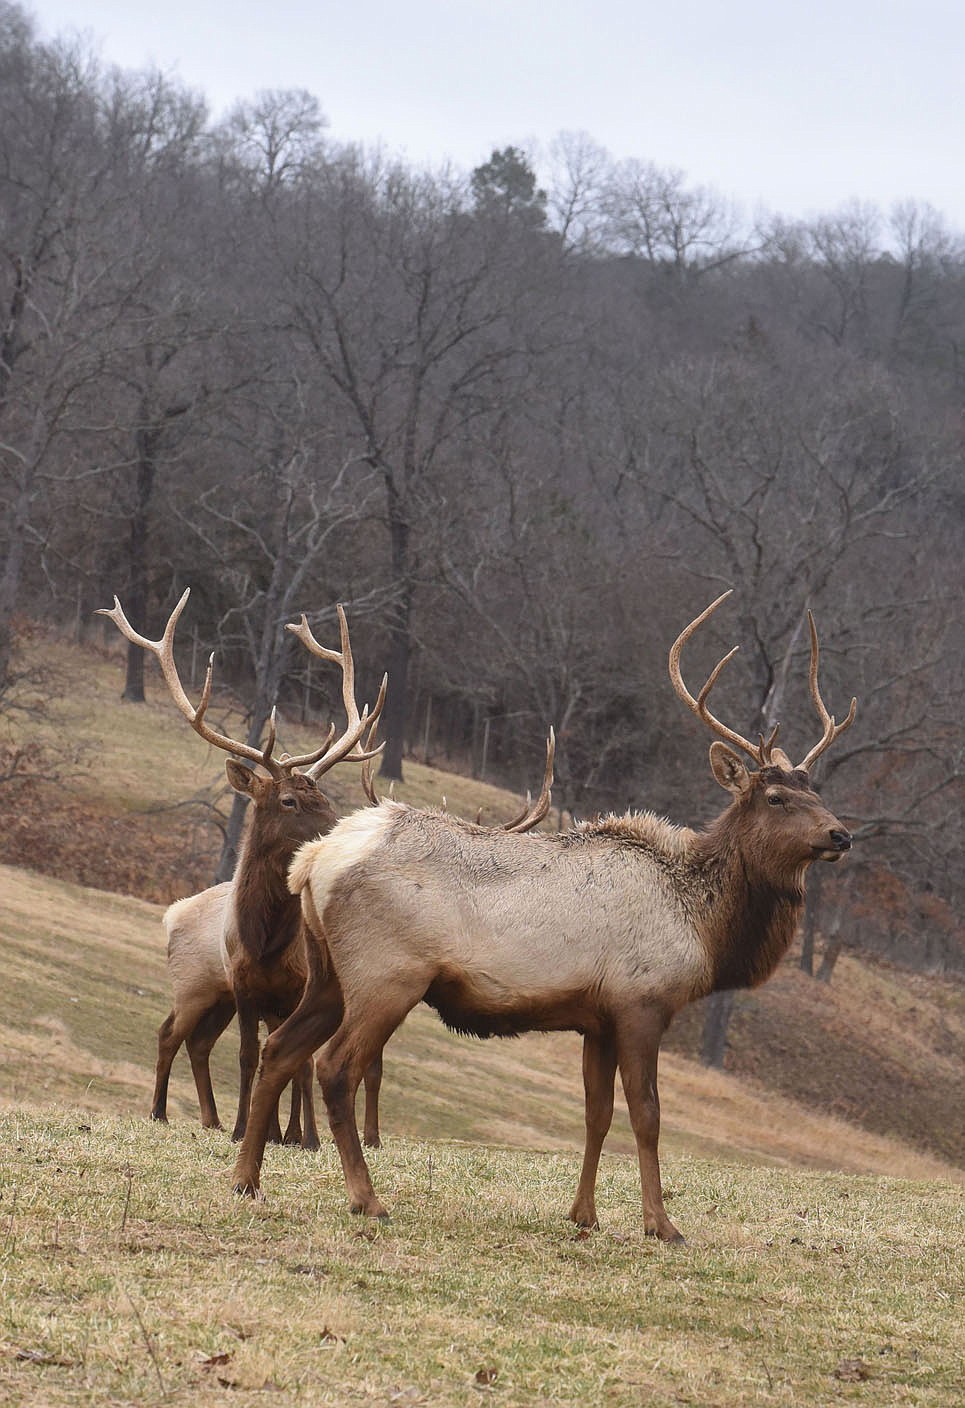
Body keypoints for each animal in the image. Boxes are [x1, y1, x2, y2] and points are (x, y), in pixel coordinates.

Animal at [229, 594, 856, 1244]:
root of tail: (312, 861)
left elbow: (597, 1115)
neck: (703, 927)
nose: (842, 834)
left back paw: (246, 1179)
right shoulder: (641, 1002)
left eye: (816, 790)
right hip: (387, 975)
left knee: (280, 1048)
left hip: (326, 973)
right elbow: (647, 1115)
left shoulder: (597, 1019)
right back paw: (366, 1198)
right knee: (334, 1066)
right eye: (776, 798)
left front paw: (583, 1215)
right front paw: (661, 1224)